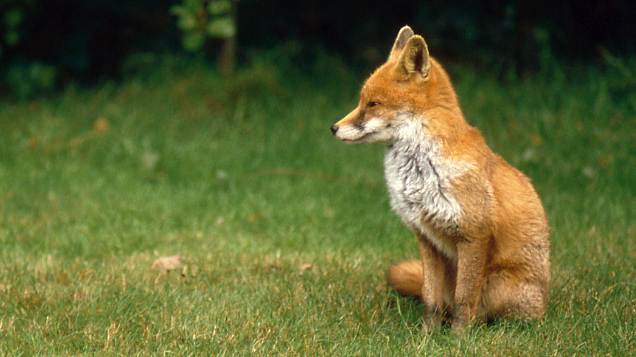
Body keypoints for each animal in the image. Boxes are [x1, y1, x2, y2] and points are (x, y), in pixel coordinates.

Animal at [330, 25, 548, 330]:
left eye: (373, 104)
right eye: (362, 102)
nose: (334, 128)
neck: (421, 171)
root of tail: (544, 302)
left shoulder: (473, 235)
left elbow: (464, 299)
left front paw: (459, 337)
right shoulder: (426, 237)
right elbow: (430, 299)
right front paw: (426, 335)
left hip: (497, 284)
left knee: (487, 313)